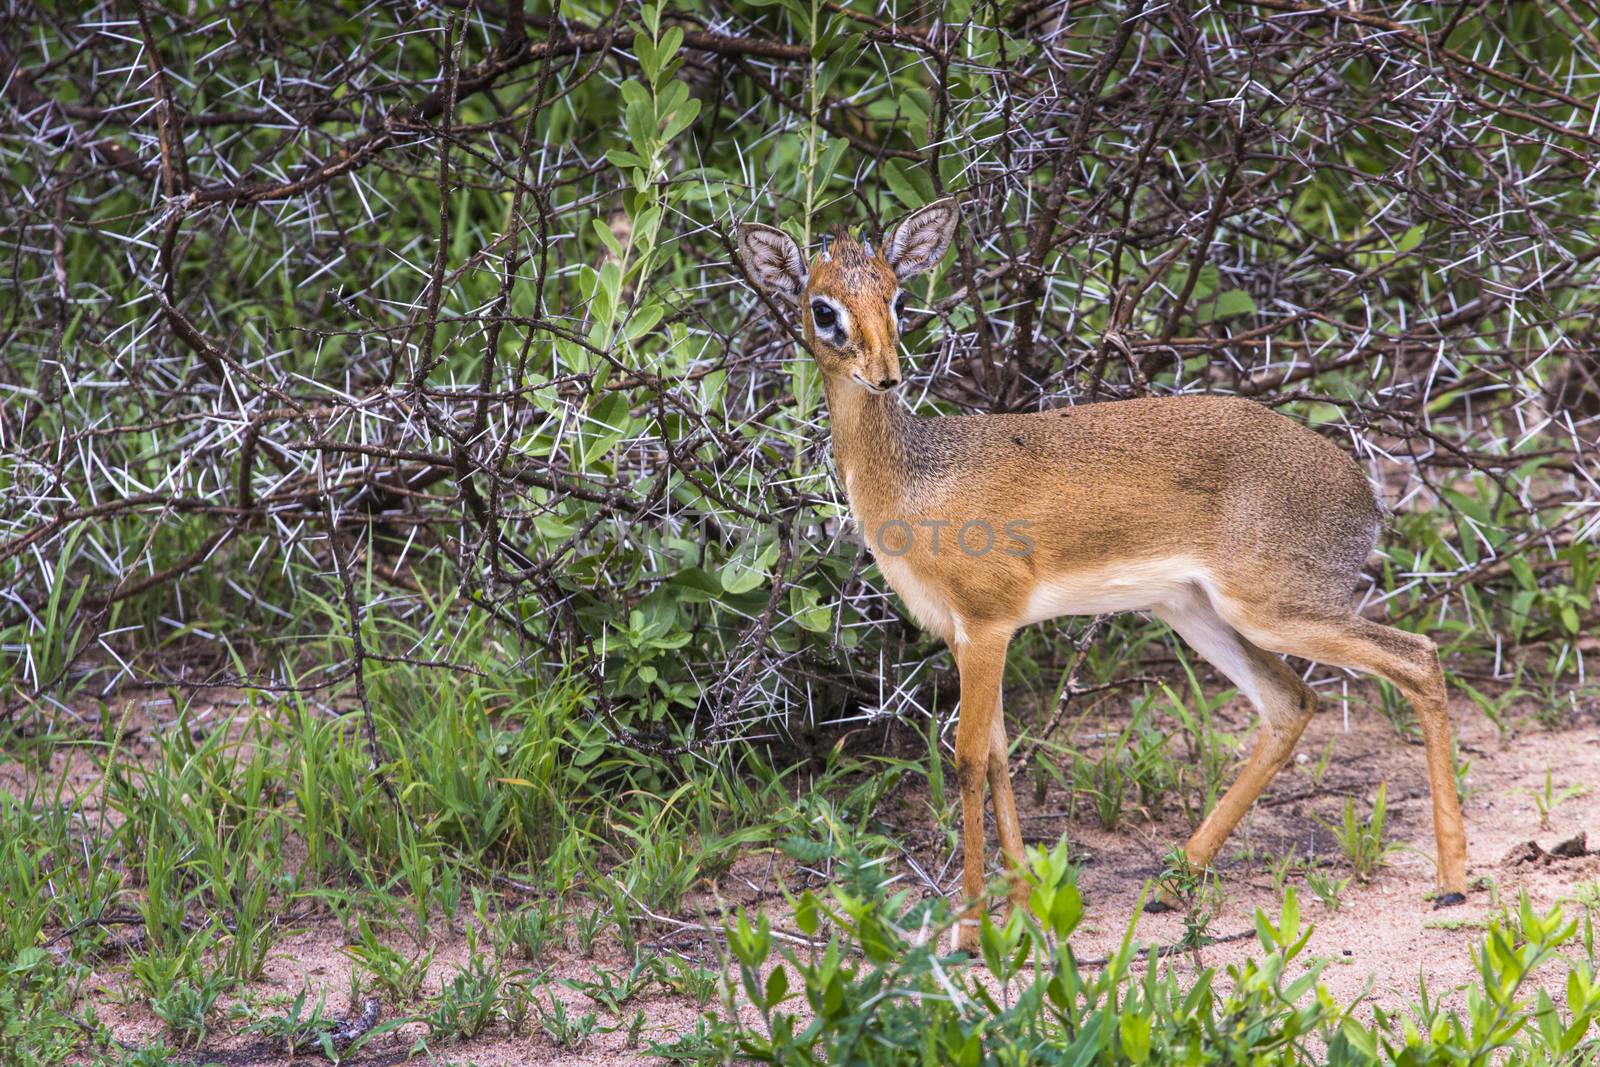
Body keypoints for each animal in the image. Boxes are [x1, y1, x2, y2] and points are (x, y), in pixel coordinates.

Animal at [732, 198, 1465, 953]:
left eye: (898, 298)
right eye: (823, 308)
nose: (886, 374)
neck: (916, 482)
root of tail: (1365, 493)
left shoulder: (987, 627)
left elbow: (968, 758)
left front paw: (970, 930)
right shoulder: (967, 637)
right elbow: (999, 756)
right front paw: (1022, 907)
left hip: (1275, 609)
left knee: (1418, 657)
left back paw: (1452, 880)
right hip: (1195, 612)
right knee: (1291, 701)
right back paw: (1172, 881)